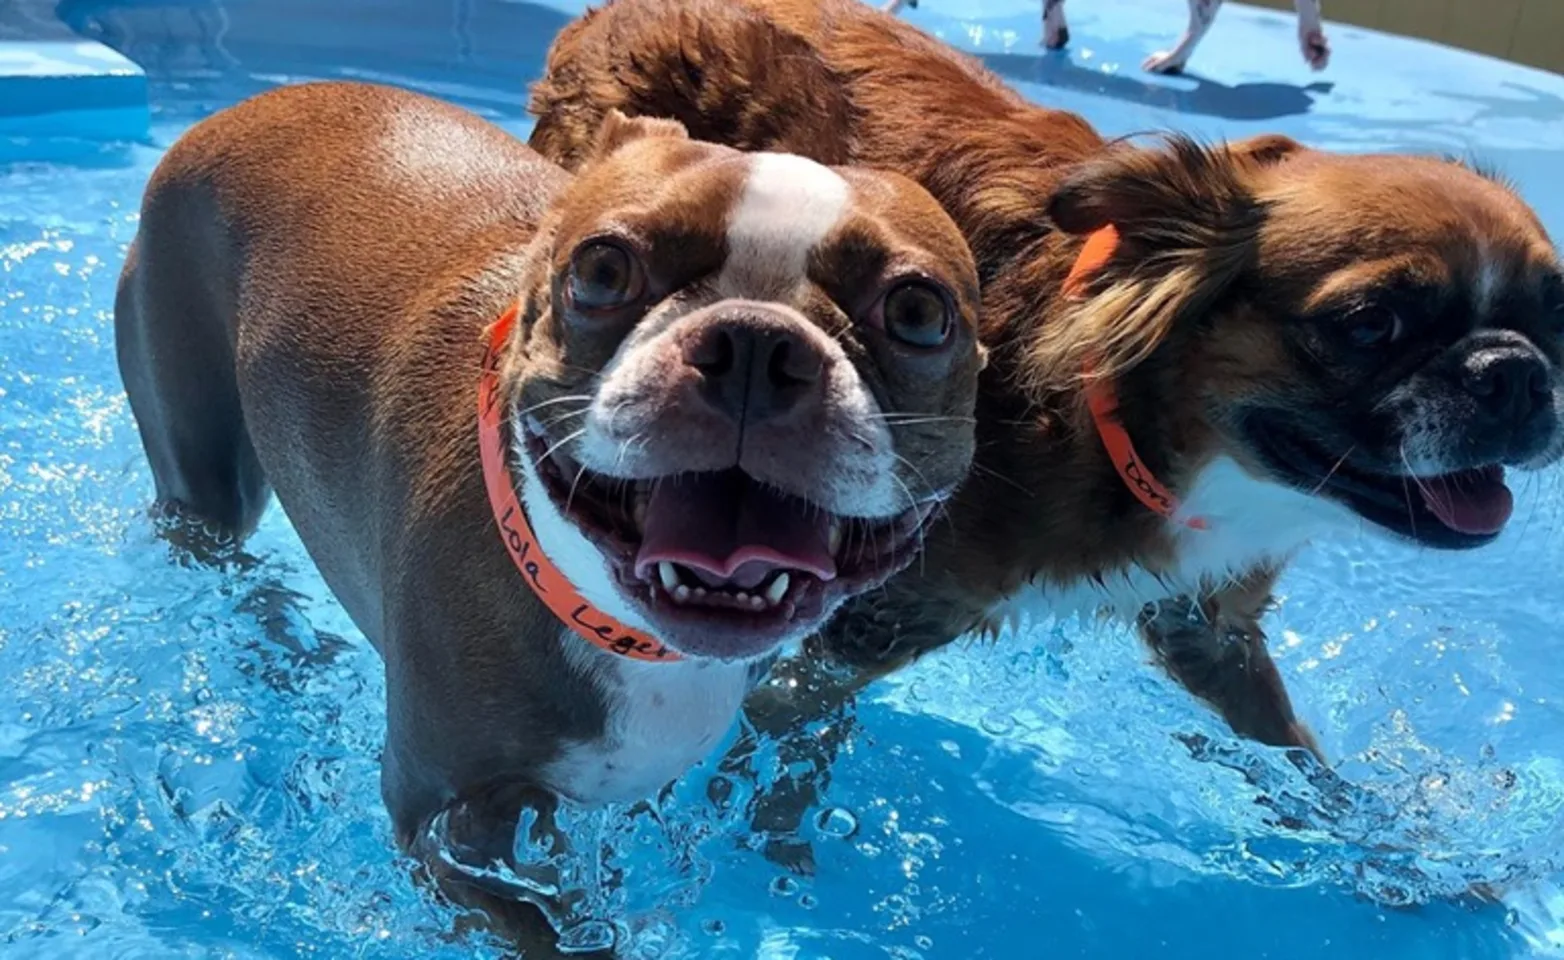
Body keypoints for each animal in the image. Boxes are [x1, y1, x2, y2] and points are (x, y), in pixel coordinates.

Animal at [115, 80, 982, 950]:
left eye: (917, 312)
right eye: (602, 269)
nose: (754, 342)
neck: (628, 629)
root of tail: (247, 106)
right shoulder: (443, 826)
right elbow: (542, 929)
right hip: (201, 462)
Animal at [528, 0, 1564, 838]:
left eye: (1552, 312)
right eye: (1369, 323)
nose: (1514, 373)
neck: (1132, 419)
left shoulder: (1205, 621)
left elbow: (1295, 751)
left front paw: (1403, 853)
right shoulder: (866, 627)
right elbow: (781, 741)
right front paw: (757, 839)